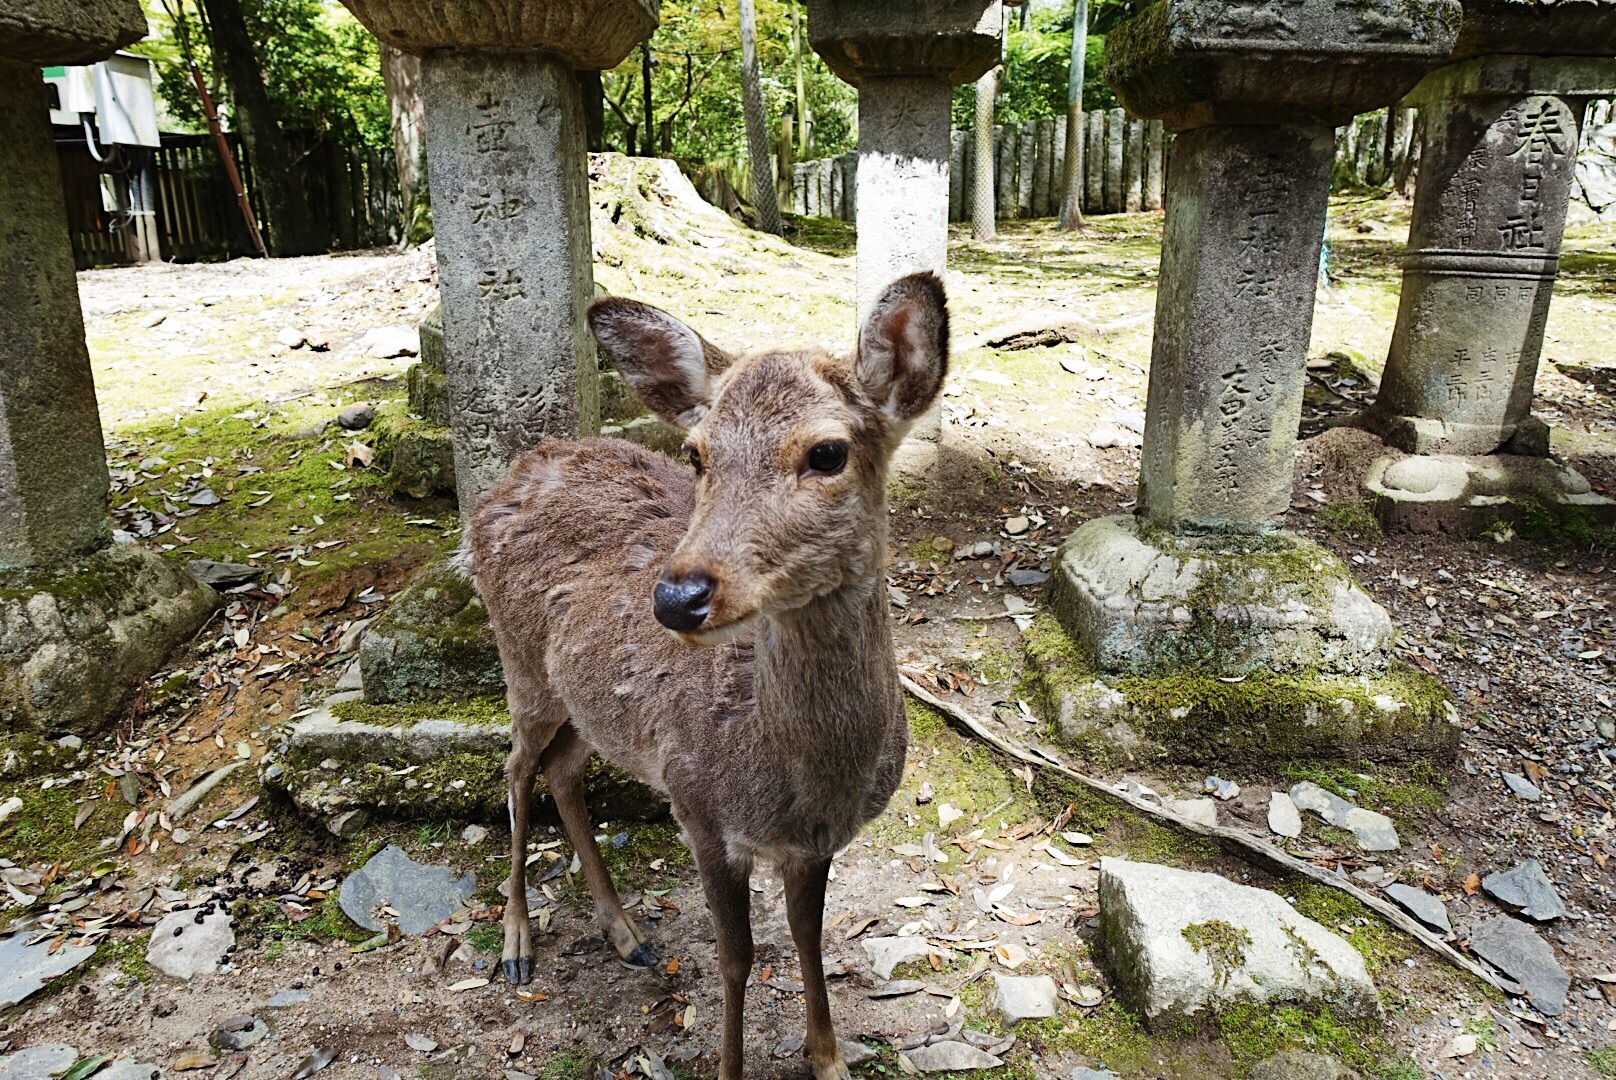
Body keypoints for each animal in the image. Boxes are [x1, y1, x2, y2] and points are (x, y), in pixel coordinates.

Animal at [462, 271, 950, 1080]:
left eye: (827, 452)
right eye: (695, 454)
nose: (677, 596)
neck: (803, 781)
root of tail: (507, 481)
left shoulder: (814, 843)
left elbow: (808, 936)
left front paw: (829, 1059)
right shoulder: (698, 806)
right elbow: (736, 958)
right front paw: (732, 1065)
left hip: (591, 705)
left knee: (563, 769)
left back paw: (627, 933)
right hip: (521, 664)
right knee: (514, 767)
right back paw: (517, 943)